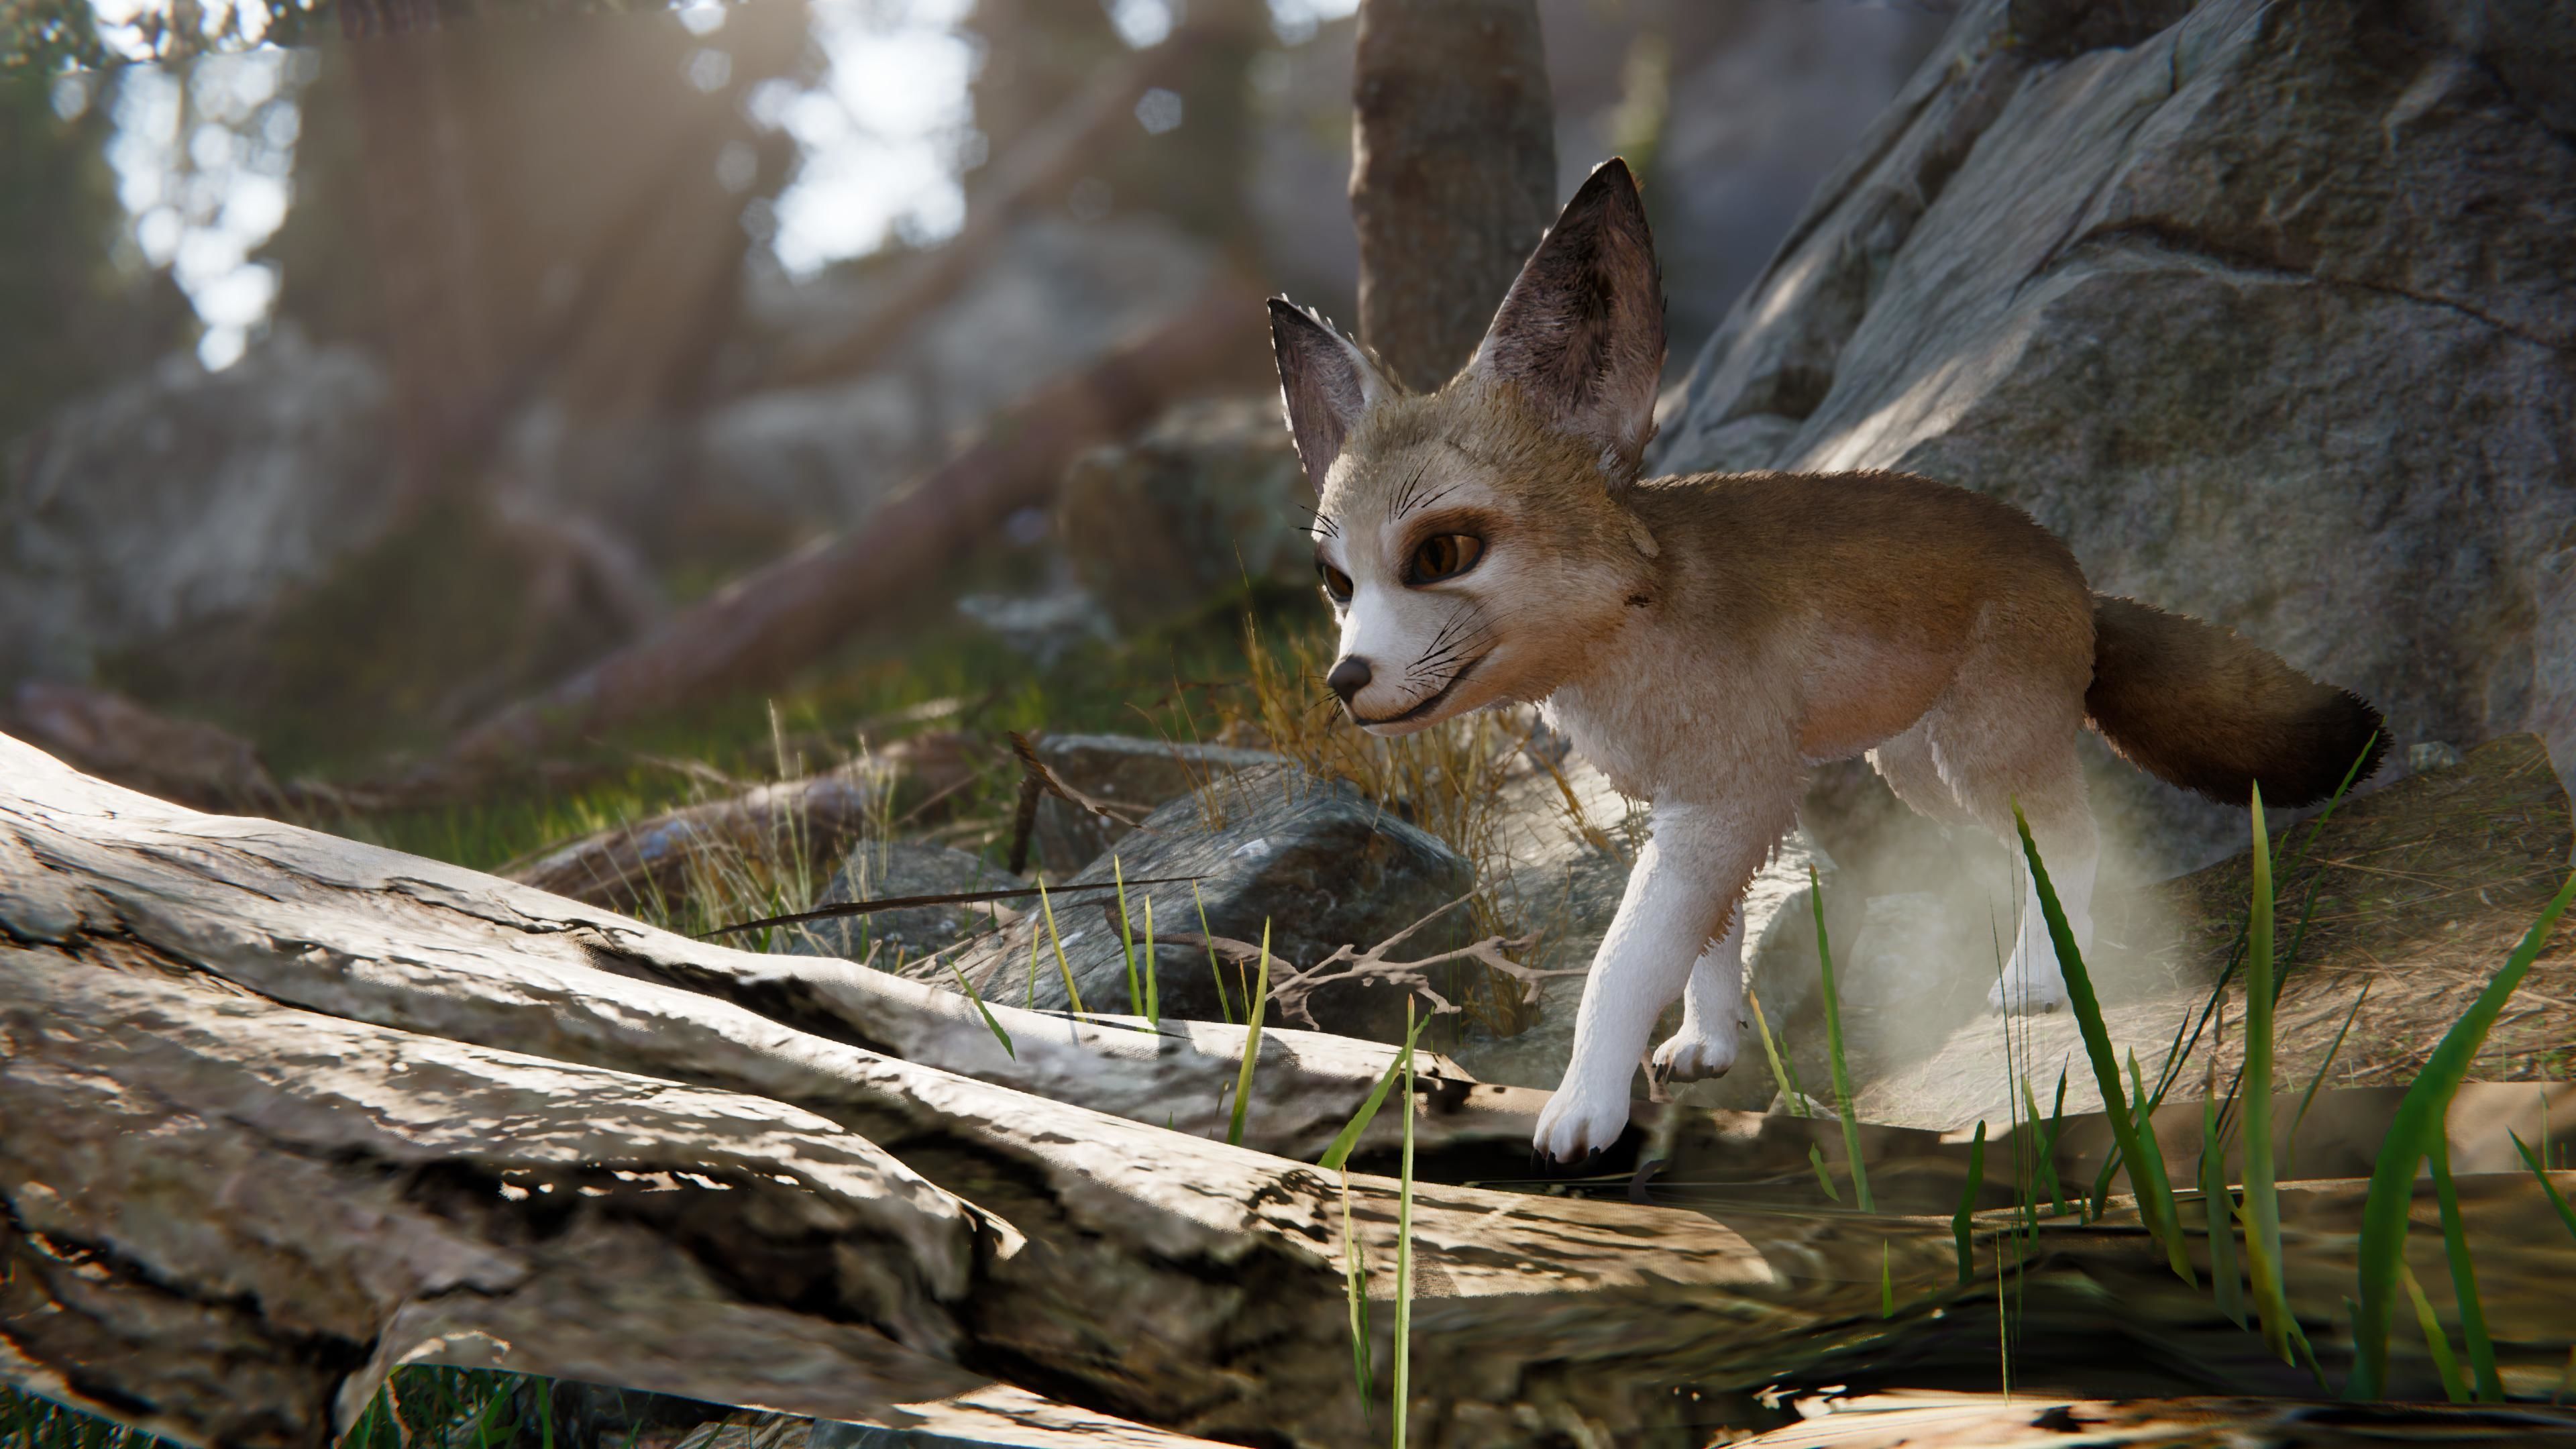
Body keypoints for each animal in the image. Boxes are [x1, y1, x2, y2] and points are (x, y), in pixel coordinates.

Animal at [1267, 158, 2388, 1163]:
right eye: (1337, 582)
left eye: (1440, 555)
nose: (1344, 684)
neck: (1636, 625)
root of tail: (2074, 569)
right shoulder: (1697, 803)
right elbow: (1710, 944)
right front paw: (1708, 1046)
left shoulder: (1728, 797)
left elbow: (1626, 961)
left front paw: (1585, 1106)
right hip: (1920, 772)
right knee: (2012, 850)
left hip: (1982, 757)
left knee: (2074, 842)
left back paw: (2038, 978)